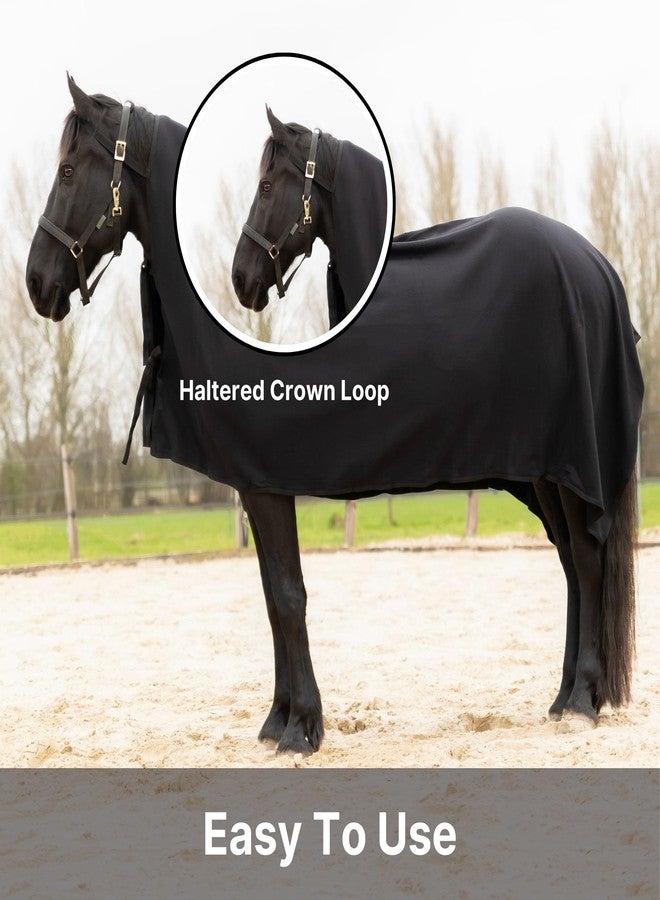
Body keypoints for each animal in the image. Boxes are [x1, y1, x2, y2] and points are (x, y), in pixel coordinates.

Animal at [26, 78, 642, 756]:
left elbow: (288, 597)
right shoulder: (255, 488)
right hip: (543, 471)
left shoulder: (269, 488)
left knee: (587, 558)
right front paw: (277, 721)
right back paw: (563, 699)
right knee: (572, 564)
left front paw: (302, 727)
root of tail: (597, 268)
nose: (35, 283)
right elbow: (272, 599)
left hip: (570, 468)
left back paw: (582, 701)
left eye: (66, 170)